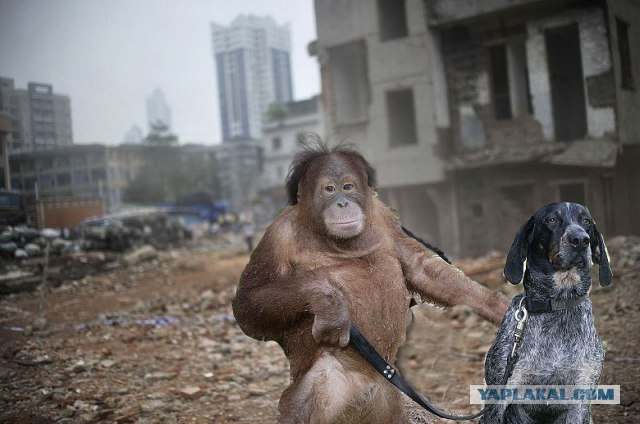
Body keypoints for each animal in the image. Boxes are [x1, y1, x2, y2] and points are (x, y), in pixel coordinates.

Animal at [482, 203, 612, 424]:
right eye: (551, 220)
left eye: (586, 221)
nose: (580, 240)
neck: (557, 304)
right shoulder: (498, 397)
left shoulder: (580, 399)